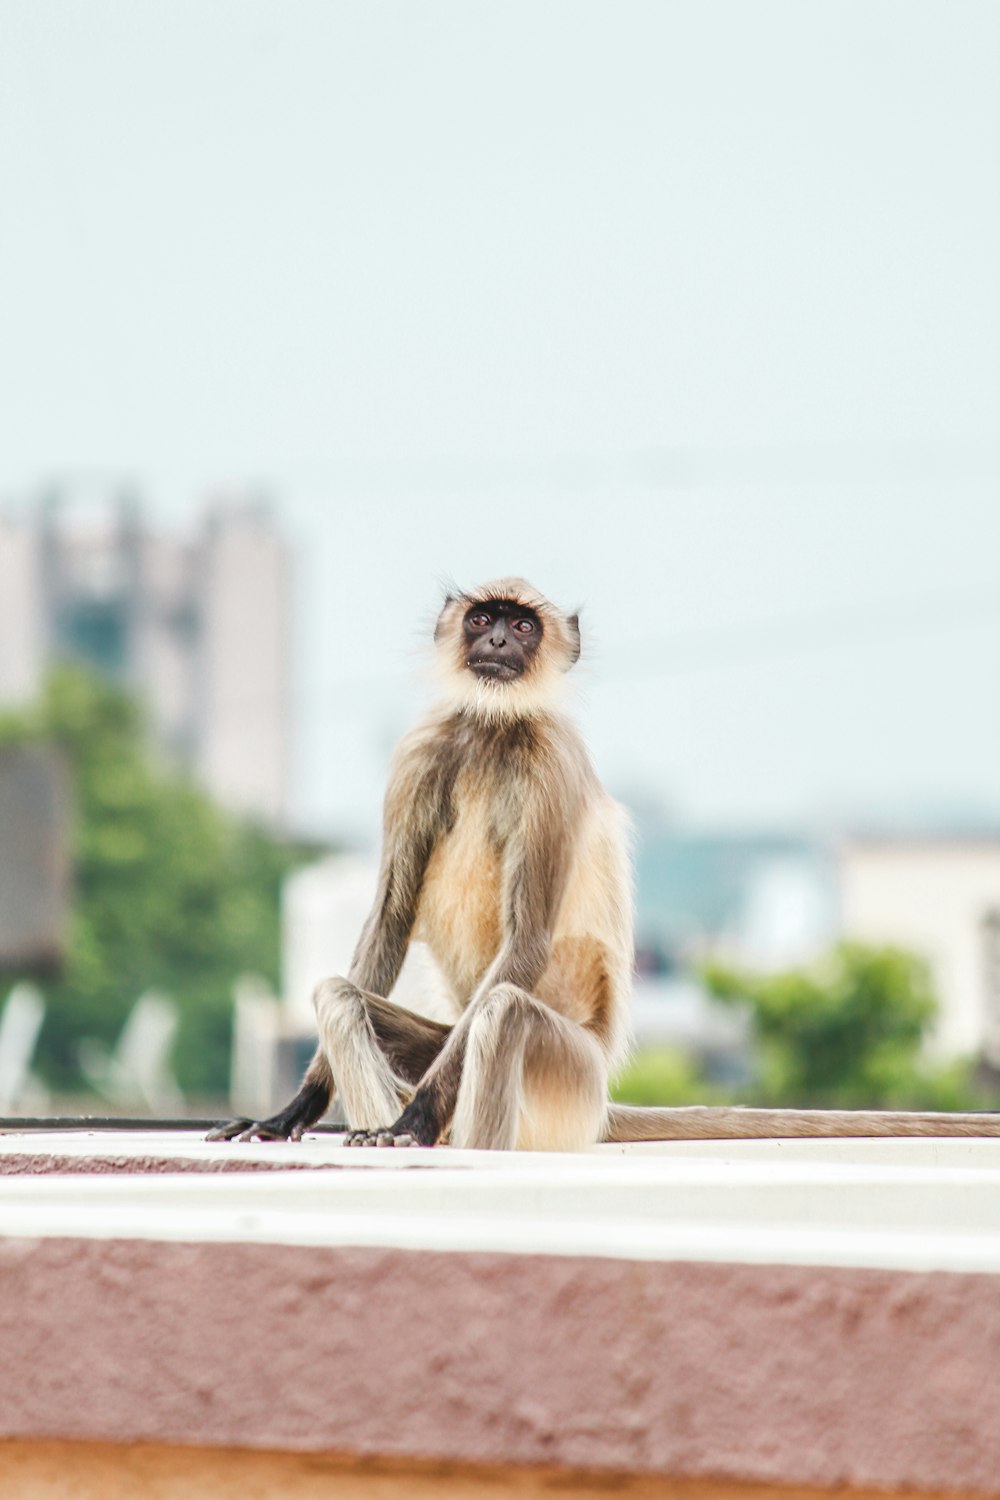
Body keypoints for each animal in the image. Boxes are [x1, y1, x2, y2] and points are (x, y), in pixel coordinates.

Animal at [206, 573, 995, 1146]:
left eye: (524, 625)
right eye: (483, 619)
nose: (500, 637)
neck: (492, 727)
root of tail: (602, 1094)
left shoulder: (552, 766)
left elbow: (524, 944)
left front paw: (414, 1120)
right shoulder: (421, 750)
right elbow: (391, 922)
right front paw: (291, 1111)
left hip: (569, 1075)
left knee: (503, 1012)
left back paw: (438, 1135)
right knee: (341, 995)